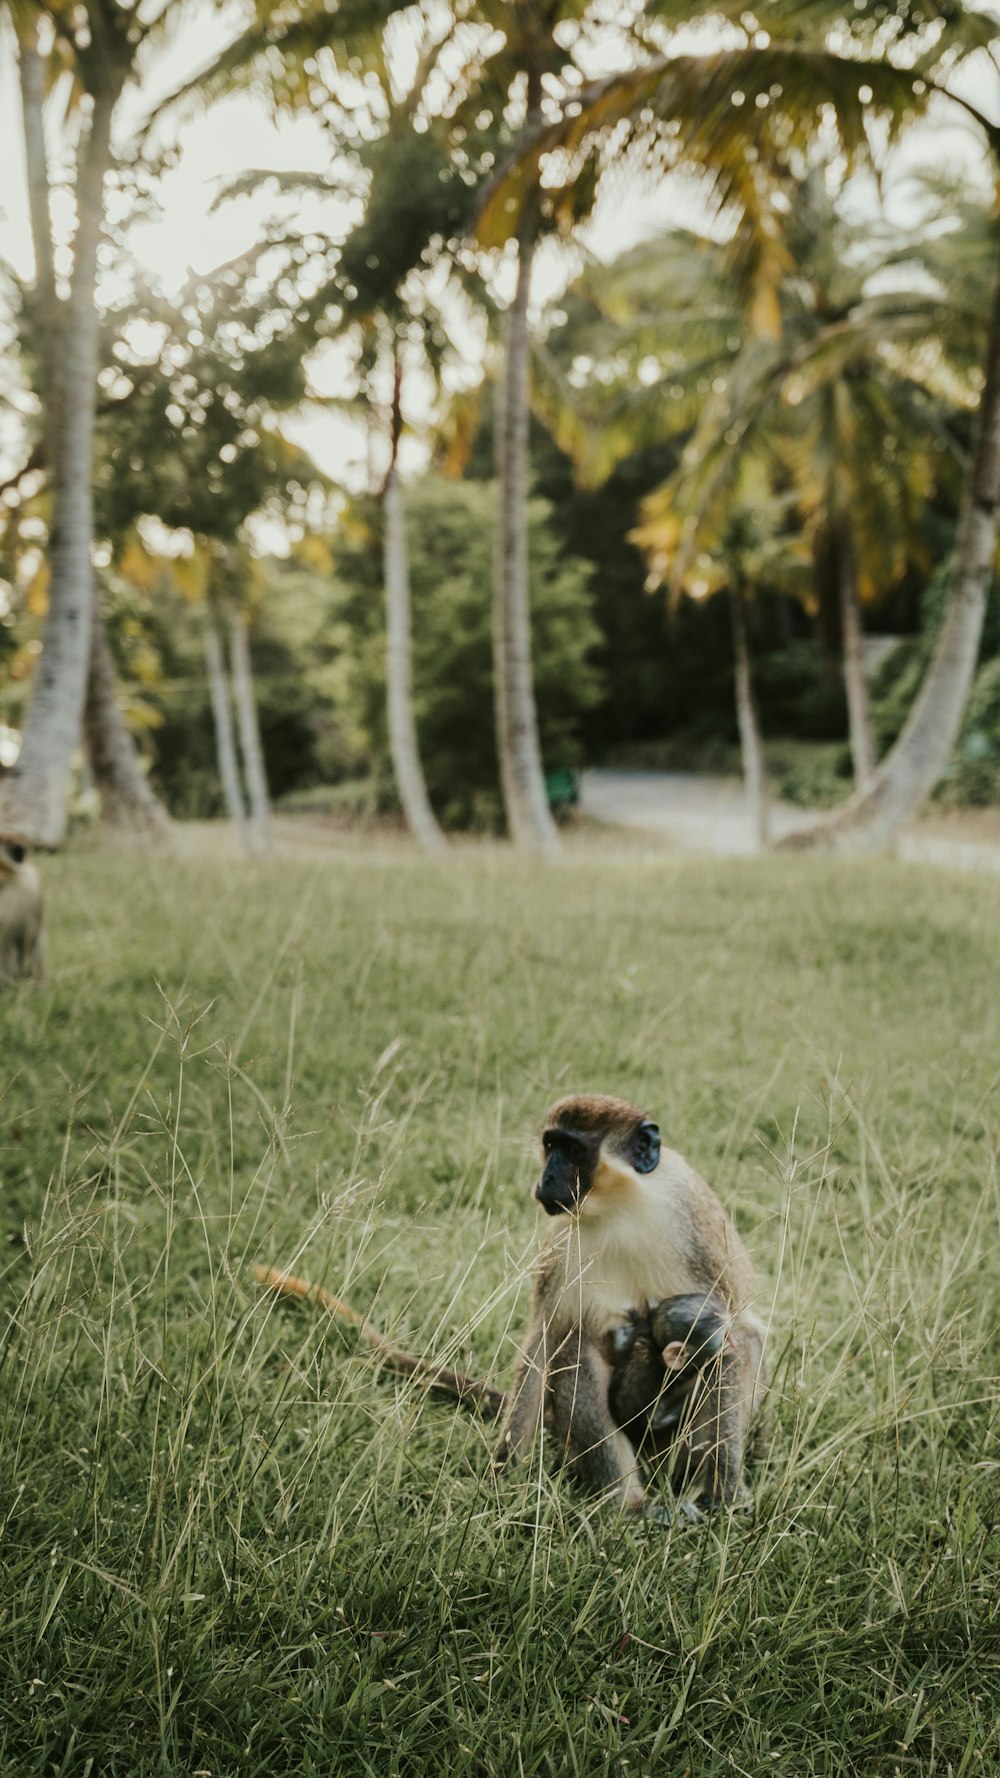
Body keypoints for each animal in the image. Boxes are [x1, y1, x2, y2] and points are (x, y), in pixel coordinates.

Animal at [494, 1095, 765, 1514]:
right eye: (551, 1145)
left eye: (573, 1150)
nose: (546, 1180)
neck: (620, 1204)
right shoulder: (561, 1244)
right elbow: (543, 1341)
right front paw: (503, 1474)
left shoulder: (690, 1214)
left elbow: (739, 1331)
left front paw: (726, 1493)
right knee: (574, 1347)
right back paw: (629, 1502)